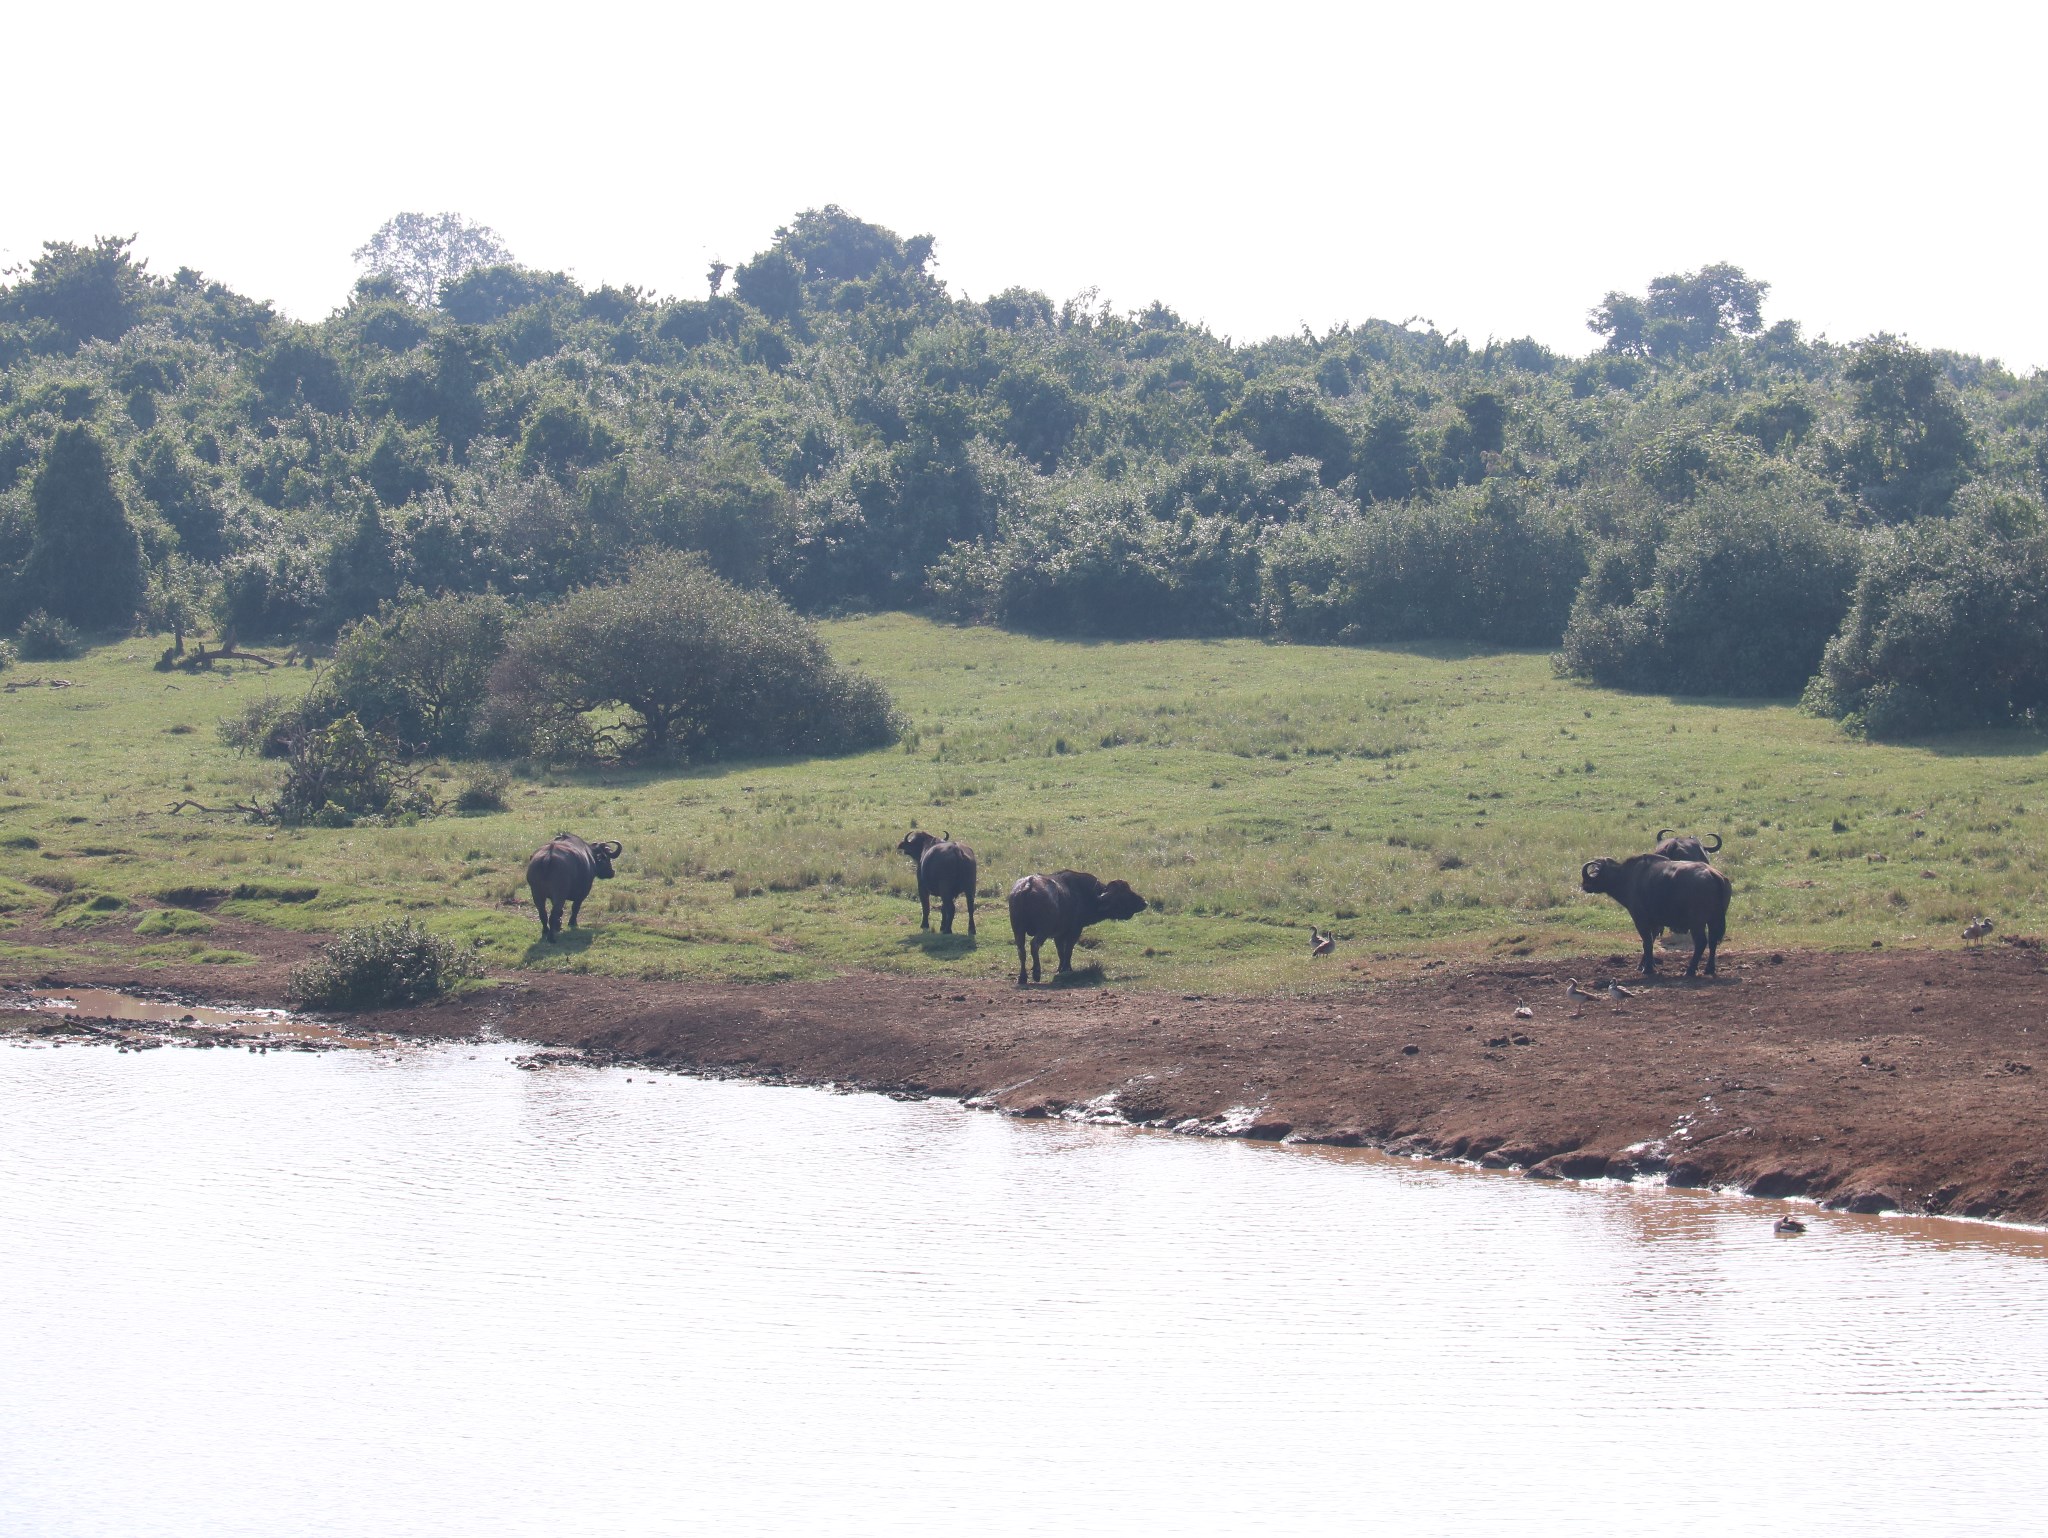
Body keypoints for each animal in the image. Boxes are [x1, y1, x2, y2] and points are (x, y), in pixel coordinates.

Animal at [1011, 868, 1155, 987]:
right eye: (1124, 894)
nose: (1144, 903)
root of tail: (1028, 885)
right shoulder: (1074, 930)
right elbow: (1068, 951)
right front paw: (1067, 969)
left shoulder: (1059, 934)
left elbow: (1060, 952)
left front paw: (1060, 969)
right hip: (1043, 930)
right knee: (1034, 945)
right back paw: (1036, 974)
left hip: (1018, 929)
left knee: (1021, 950)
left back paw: (1023, 977)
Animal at [1581, 856, 1728, 974]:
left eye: (1595, 871)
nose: (1584, 885)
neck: (1627, 877)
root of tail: (1712, 873)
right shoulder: (1656, 923)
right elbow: (1650, 941)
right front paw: (1645, 964)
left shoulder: (1640, 919)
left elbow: (1646, 942)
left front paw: (1648, 969)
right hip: (1714, 921)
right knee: (1713, 942)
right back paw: (1709, 969)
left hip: (1697, 923)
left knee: (1701, 942)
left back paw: (1690, 970)